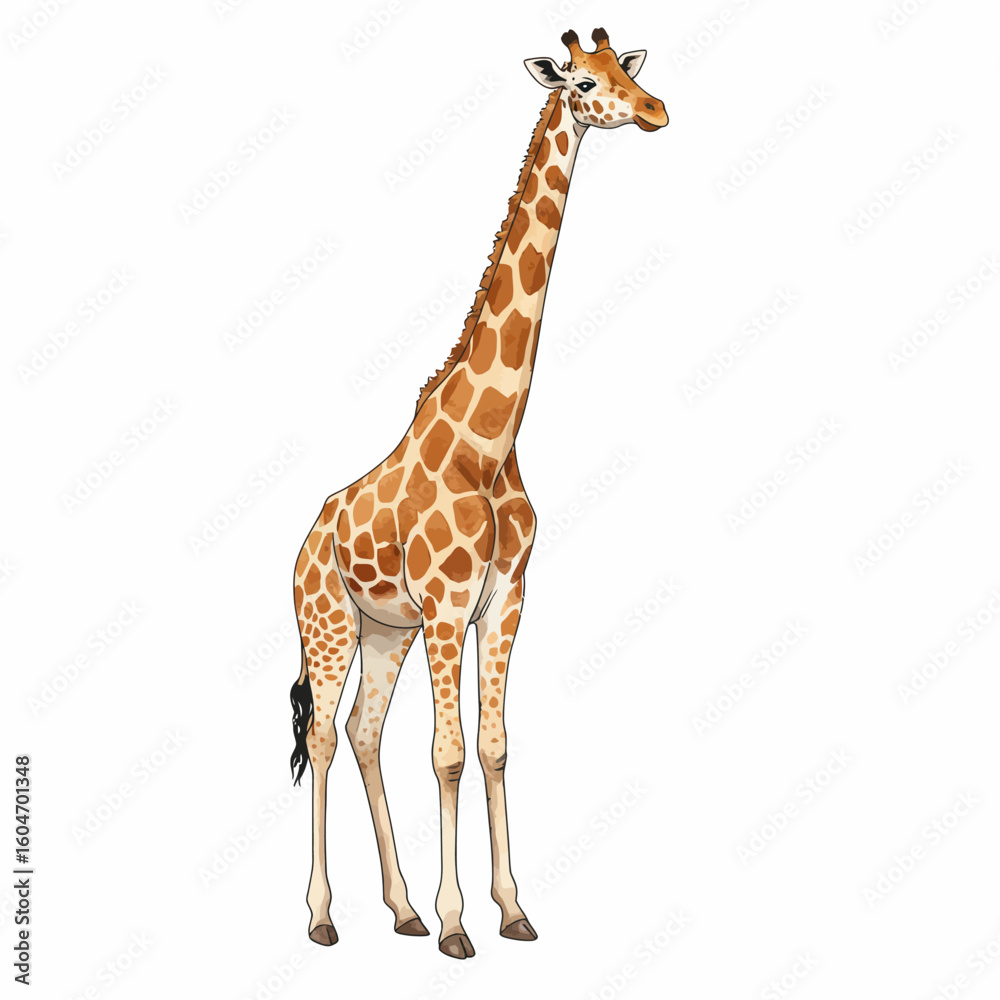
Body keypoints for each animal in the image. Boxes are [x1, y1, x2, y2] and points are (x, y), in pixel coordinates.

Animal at [289, 27, 668, 960]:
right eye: (580, 83)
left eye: (624, 70)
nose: (655, 110)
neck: (491, 444)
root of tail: (302, 546)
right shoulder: (448, 605)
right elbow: (449, 753)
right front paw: (460, 923)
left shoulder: (503, 602)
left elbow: (493, 747)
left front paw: (510, 910)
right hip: (329, 624)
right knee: (322, 736)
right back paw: (323, 917)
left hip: (384, 633)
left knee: (362, 735)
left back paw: (399, 910)